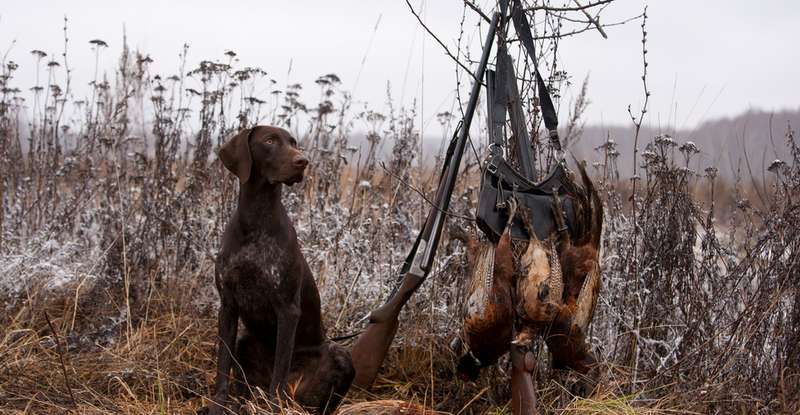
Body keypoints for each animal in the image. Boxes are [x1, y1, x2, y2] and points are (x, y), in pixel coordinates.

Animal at [209, 125, 354, 414]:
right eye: (269, 141)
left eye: (293, 142)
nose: (303, 161)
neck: (255, 222)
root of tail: (299, 395)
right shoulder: (227, 306)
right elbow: (222, 365)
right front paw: (218, 405)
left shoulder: (288, 309)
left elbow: (280, 369)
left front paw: (274, 406)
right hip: (245, 341)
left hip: (342, 356)